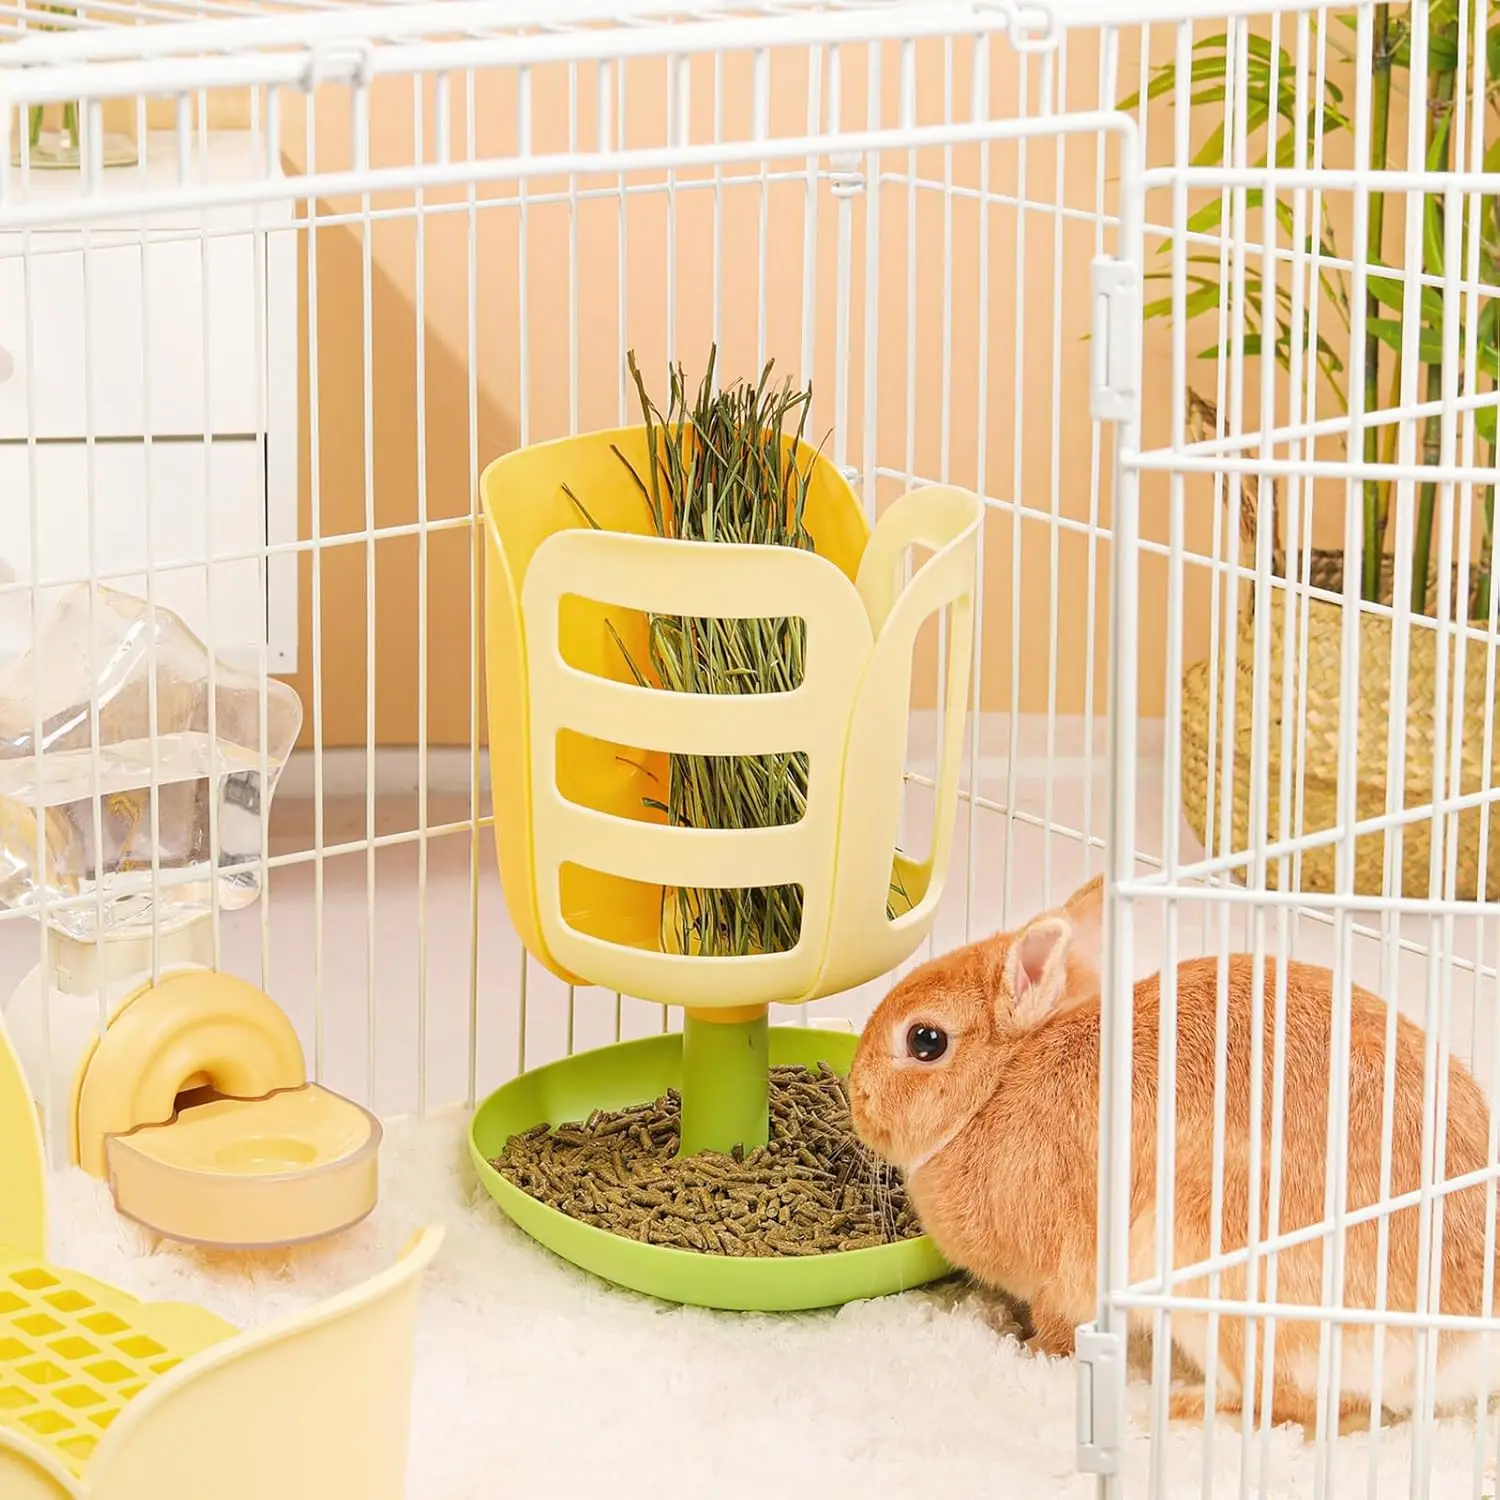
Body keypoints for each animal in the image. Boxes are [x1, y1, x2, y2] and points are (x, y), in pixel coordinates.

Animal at [849, 873, 1500, 1434]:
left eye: (925, 1040)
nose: (856, 1096)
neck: (996, 1087)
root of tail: (1461, 1338)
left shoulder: (1071, 1276)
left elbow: (1060, 1326)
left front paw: (1025, 1348)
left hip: (1216, 1262)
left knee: (1314, 1407)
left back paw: (1177, 1407)